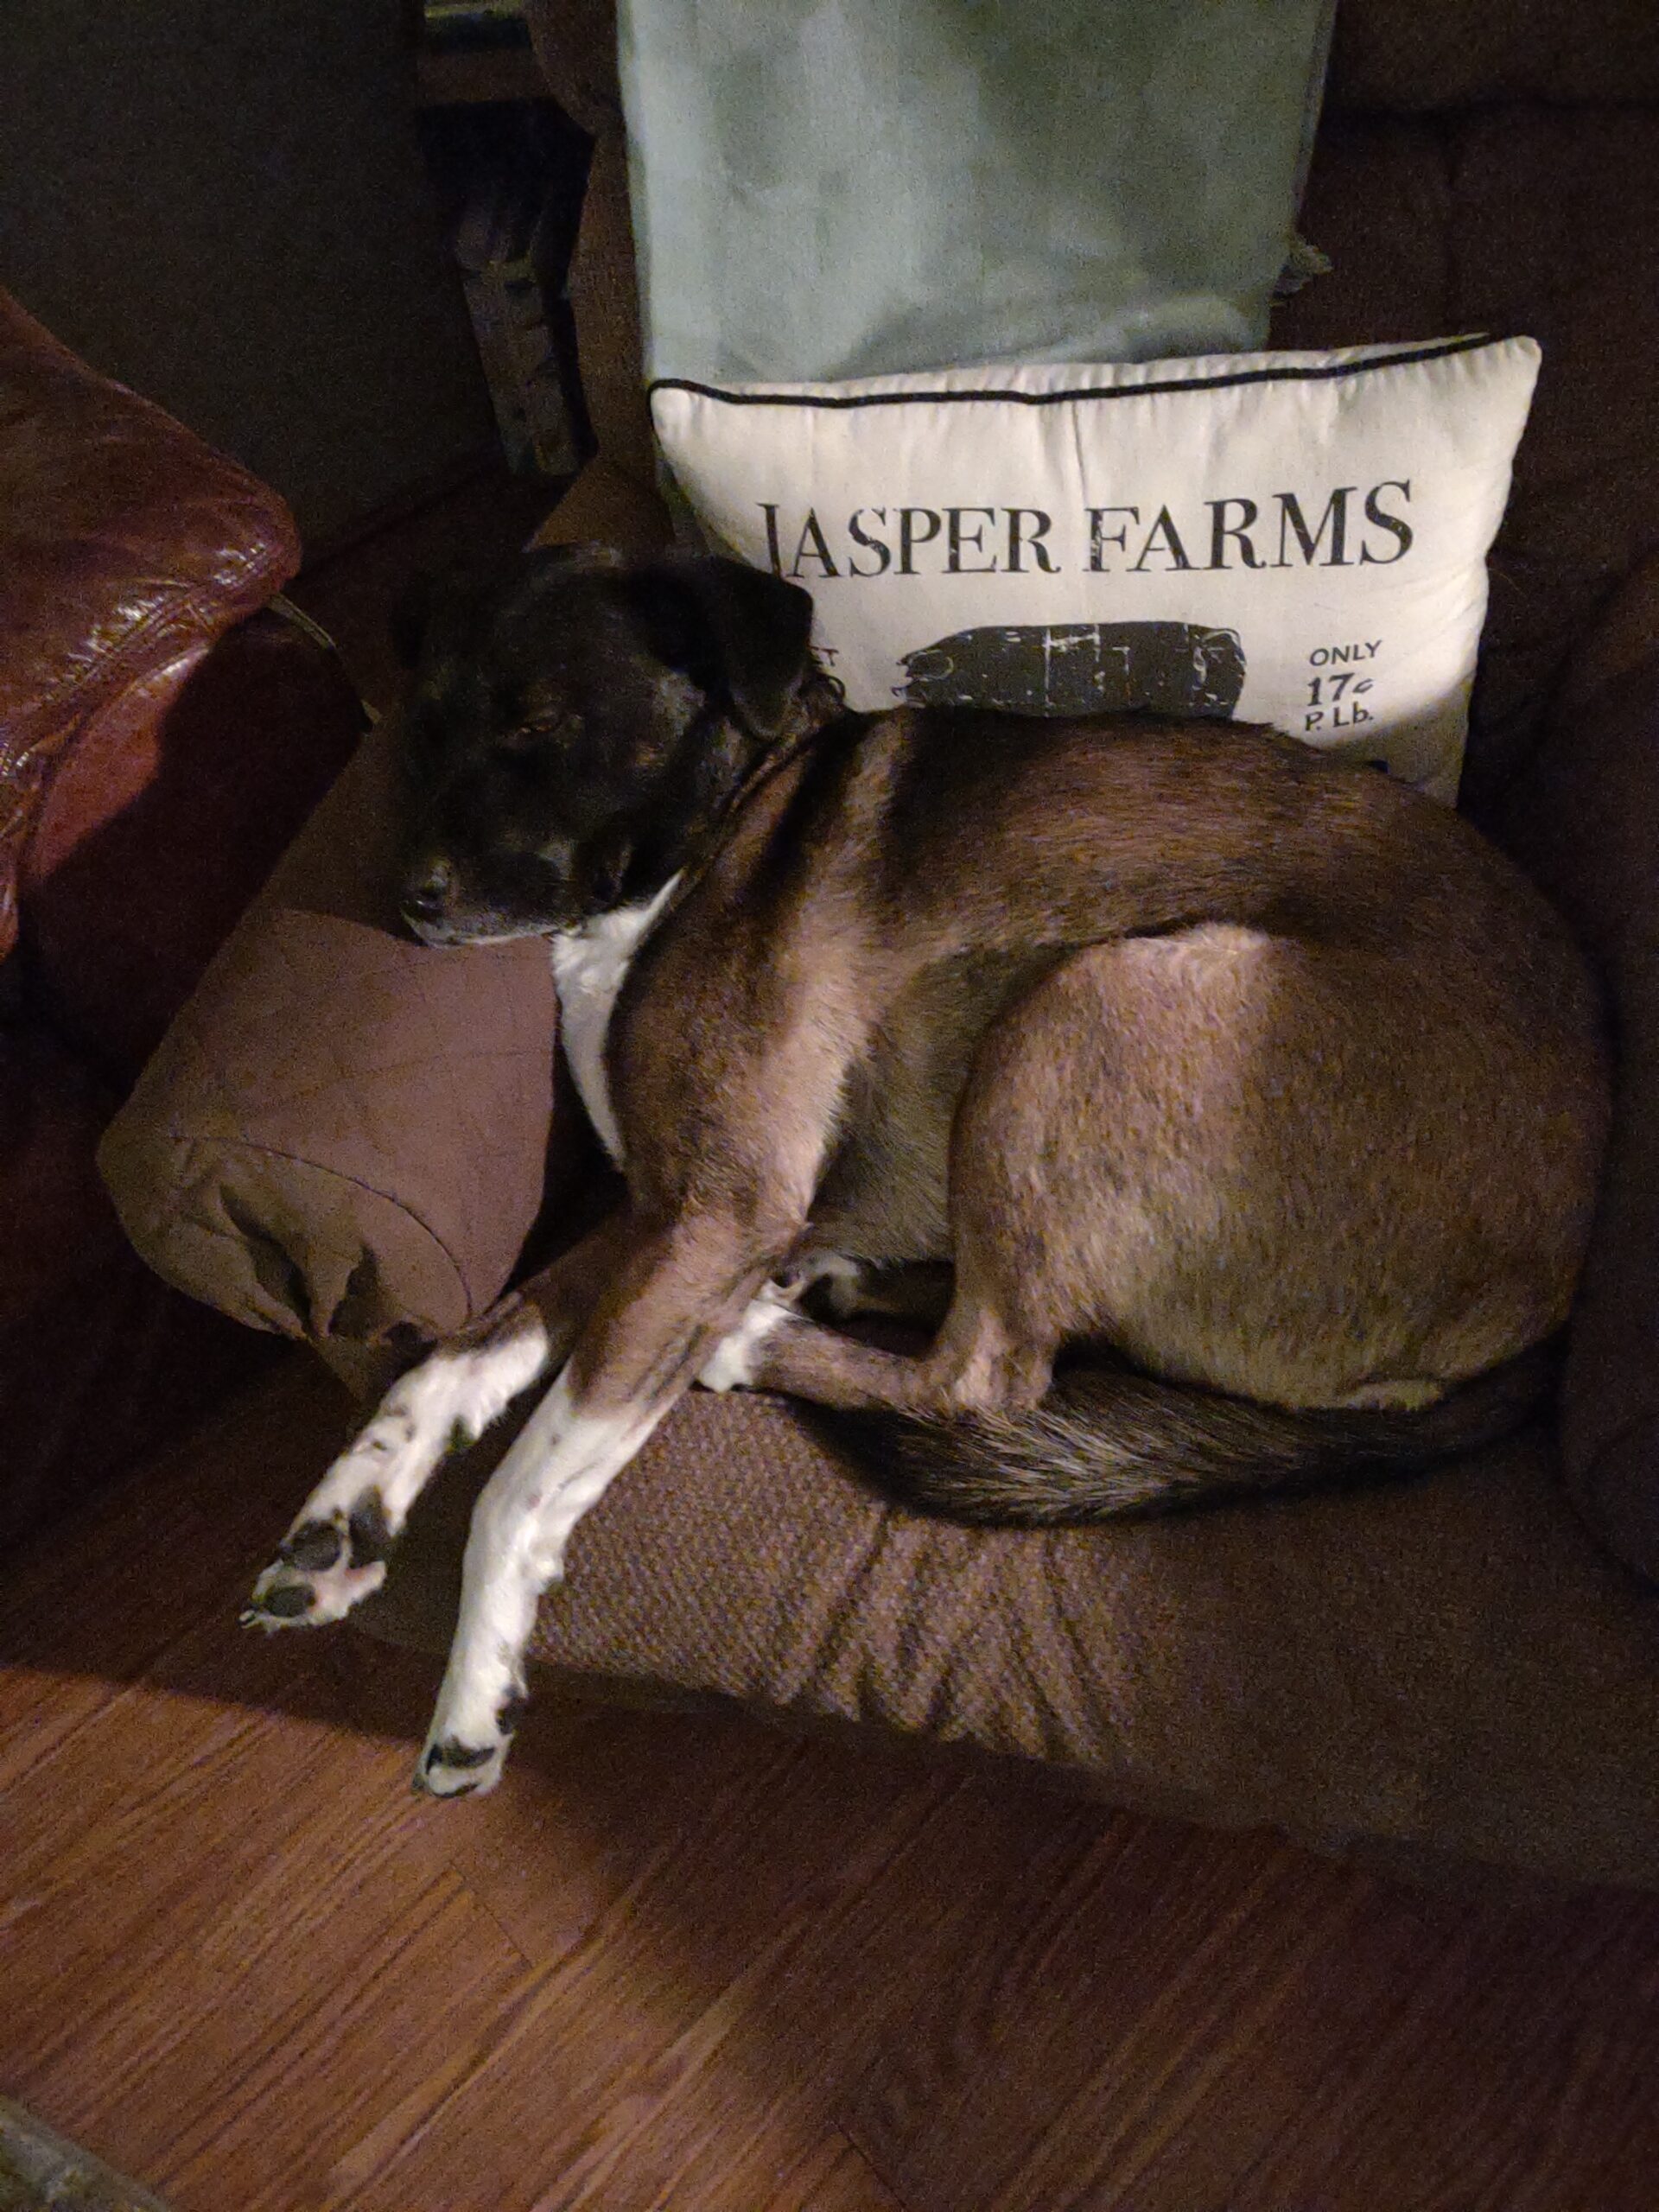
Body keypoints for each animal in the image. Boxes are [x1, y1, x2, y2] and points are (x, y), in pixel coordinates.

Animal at [243, 539, 1610, 1796]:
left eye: (536, 726)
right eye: (424, 726)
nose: (407, 904)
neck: (714, 828)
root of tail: (1551, 1300)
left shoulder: (713, 1217)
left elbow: (520, 1484)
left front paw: (474, 1681)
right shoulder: (659, 1213)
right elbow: (448, 1359)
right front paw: (346, 1514)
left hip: (1090, 1001)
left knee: (989, 1378)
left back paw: (764, 1343)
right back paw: (841, 1286)